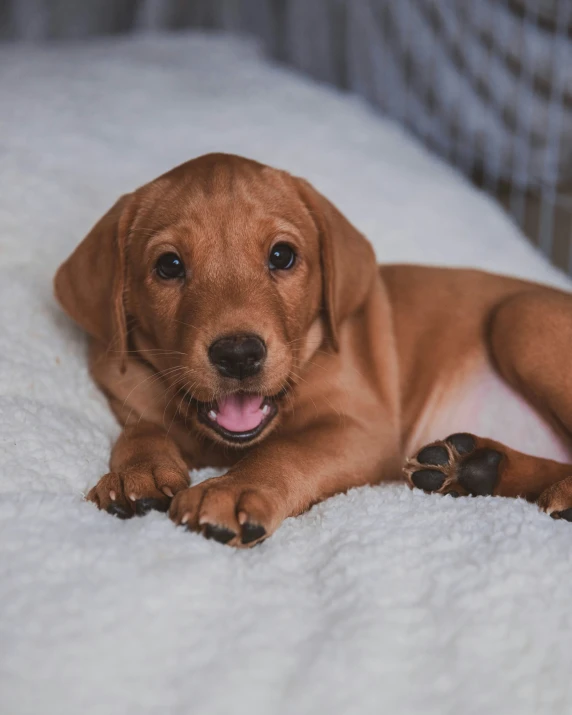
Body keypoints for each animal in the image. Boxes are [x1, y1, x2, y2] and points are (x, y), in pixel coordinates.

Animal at [54, 155, 572, 548]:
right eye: (169, 265)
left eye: (281, 256)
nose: (238, 354)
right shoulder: (127, 387)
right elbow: (140, 430)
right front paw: (136, 472)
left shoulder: (362, 430)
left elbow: (286, 451)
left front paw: (231, 488)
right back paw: (473, 467)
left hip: (520, 316)